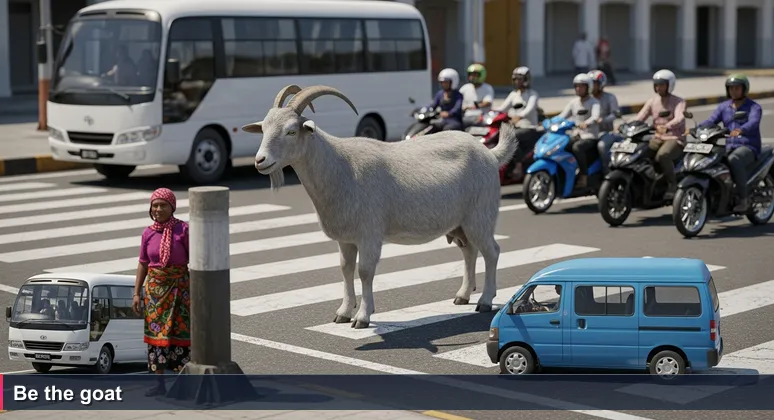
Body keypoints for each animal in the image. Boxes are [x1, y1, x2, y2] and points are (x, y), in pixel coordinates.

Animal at [241, 84, 520, 329]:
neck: (340, 167)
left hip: (481, 215)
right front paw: (343, 312)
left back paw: (485, 300)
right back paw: (463, 295)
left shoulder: (369, 234)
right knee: (469, 251)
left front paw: (362, 317)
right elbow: (345, 269)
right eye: (263, 128)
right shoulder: (346, 238)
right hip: (460, 222)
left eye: (291, 131)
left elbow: (365, 271)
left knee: (492, 252)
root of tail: (489, 154)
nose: (260, 160)